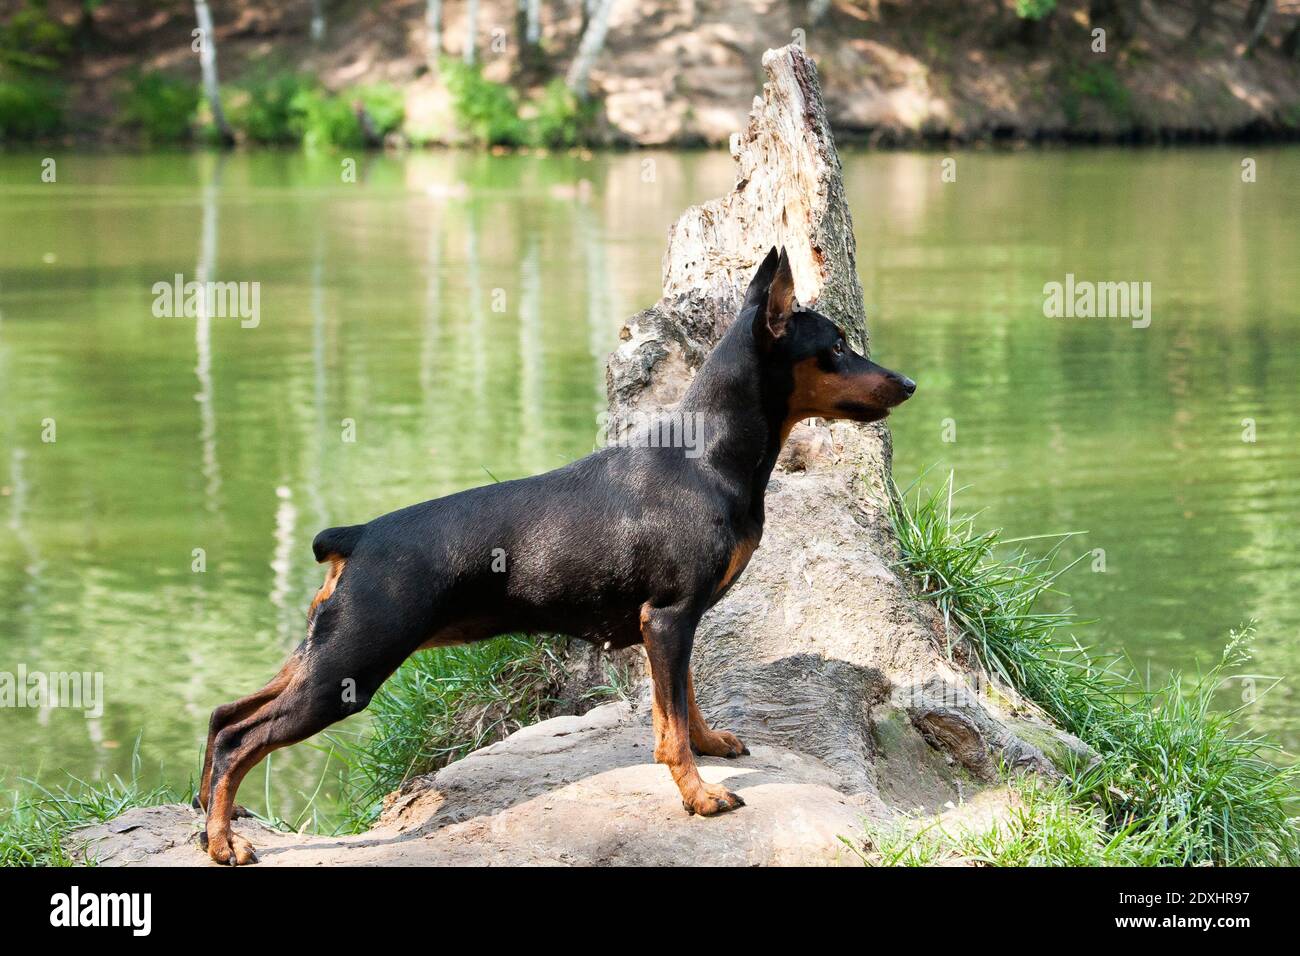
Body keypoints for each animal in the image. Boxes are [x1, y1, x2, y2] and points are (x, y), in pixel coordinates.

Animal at [200, 251, 915, 863]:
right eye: (835, 348)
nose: (907, 384)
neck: (707, 455)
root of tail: (356, 536)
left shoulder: (675, 625)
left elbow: (686, 699)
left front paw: (712, 744)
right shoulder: (669, 617)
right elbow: (670, 728)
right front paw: (700, 795)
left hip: (322, 653)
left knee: (223, 716)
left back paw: (207, 820)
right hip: (350, 668)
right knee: (240, 737)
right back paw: (224, 843)